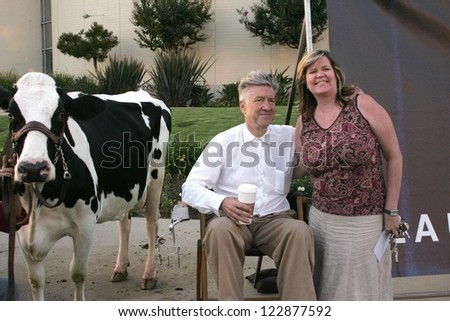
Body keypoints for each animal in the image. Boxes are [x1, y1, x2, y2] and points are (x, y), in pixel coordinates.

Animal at [0, 71, 171, 298]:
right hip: (124, 185)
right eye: (11, 115)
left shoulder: (85, 225)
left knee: (152, 223)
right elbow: (35, 281)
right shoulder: (22, 232)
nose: (33, 168)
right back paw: (121, 268)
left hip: (156, 177)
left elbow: (77, 274)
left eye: (61, 114)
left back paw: (149, 274)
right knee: (124, 222)